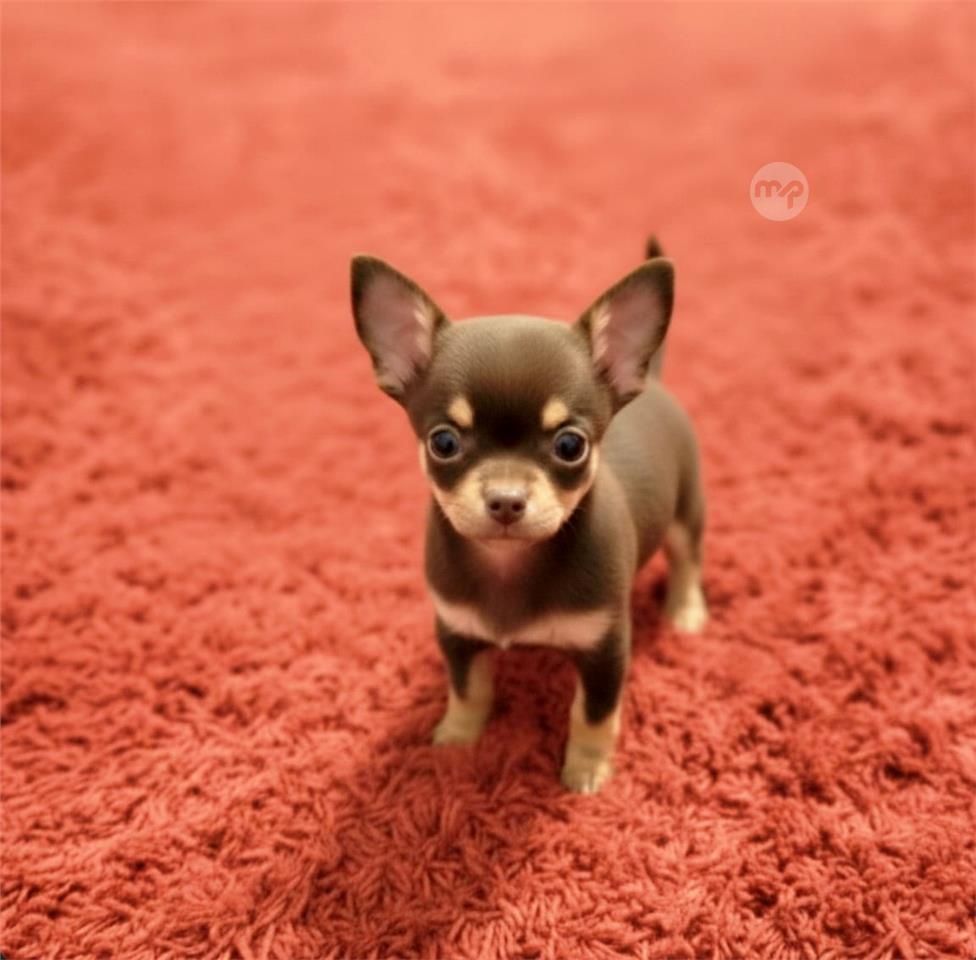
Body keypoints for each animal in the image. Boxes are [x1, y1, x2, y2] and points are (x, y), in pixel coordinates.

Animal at [350, 237, 707, 793]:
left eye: (570, 445)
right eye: (443, 443)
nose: (506, 499)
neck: (508, 565)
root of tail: (653, 379)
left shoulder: (606, 650)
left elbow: (593, 715)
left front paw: (587, 769)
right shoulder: (456, 632)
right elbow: (468, 690)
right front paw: (458, 741)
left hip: (687, 511)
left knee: (688, 558)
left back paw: (686, 610)